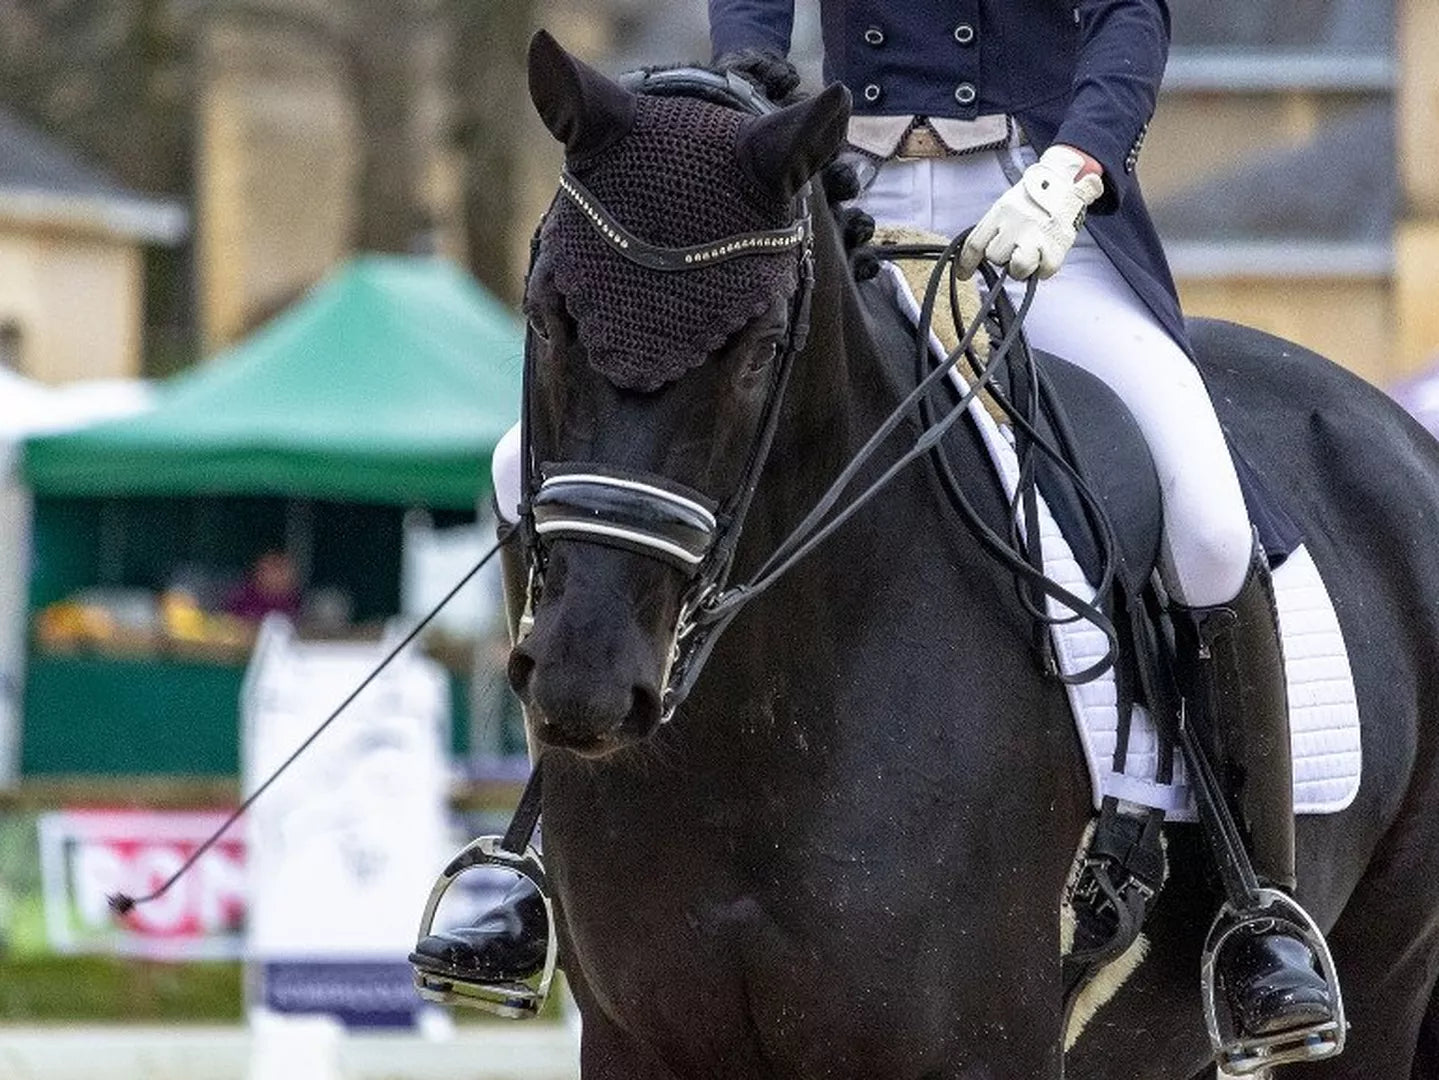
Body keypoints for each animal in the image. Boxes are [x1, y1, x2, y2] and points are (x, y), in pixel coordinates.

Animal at [508, 31, 1439, 1079]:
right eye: (545, 314)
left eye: (756, 347)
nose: (585, 680)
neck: (762, 730)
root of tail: (1397, 432)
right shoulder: (635, 1040)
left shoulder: (982, 1047)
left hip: (1386, 973)